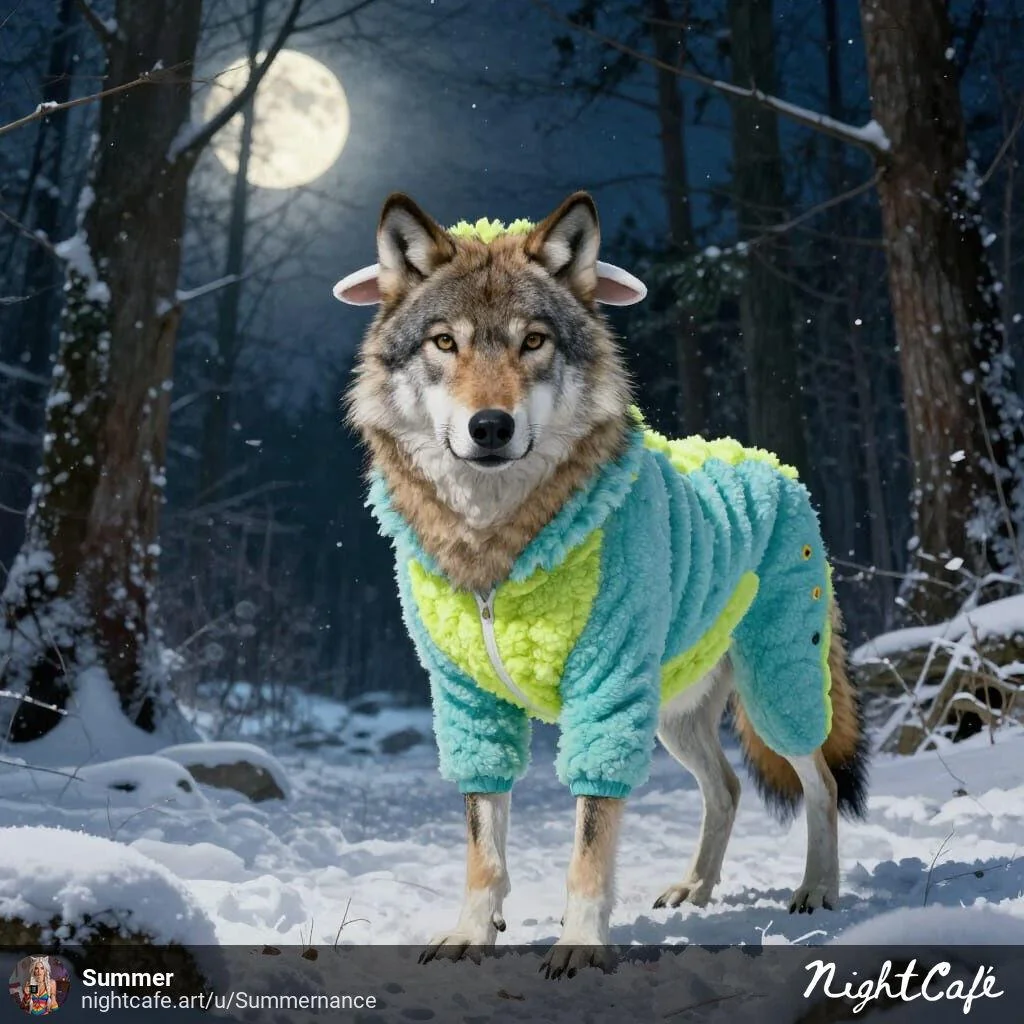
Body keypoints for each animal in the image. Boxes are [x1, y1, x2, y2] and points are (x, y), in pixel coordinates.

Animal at [335, 191, 868, 978]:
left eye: (533, 342)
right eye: (444, 343)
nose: (489, 427)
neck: (496, 552)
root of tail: (776, 466)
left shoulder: (606, 692)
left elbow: (590, 843)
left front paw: (581, 944)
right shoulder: (469, 702)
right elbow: (484, 848)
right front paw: (472, 932)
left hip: (776, 686)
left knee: (821, 782)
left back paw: (817, 890)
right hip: (674, 712)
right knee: (727, 787)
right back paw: (694, 889)